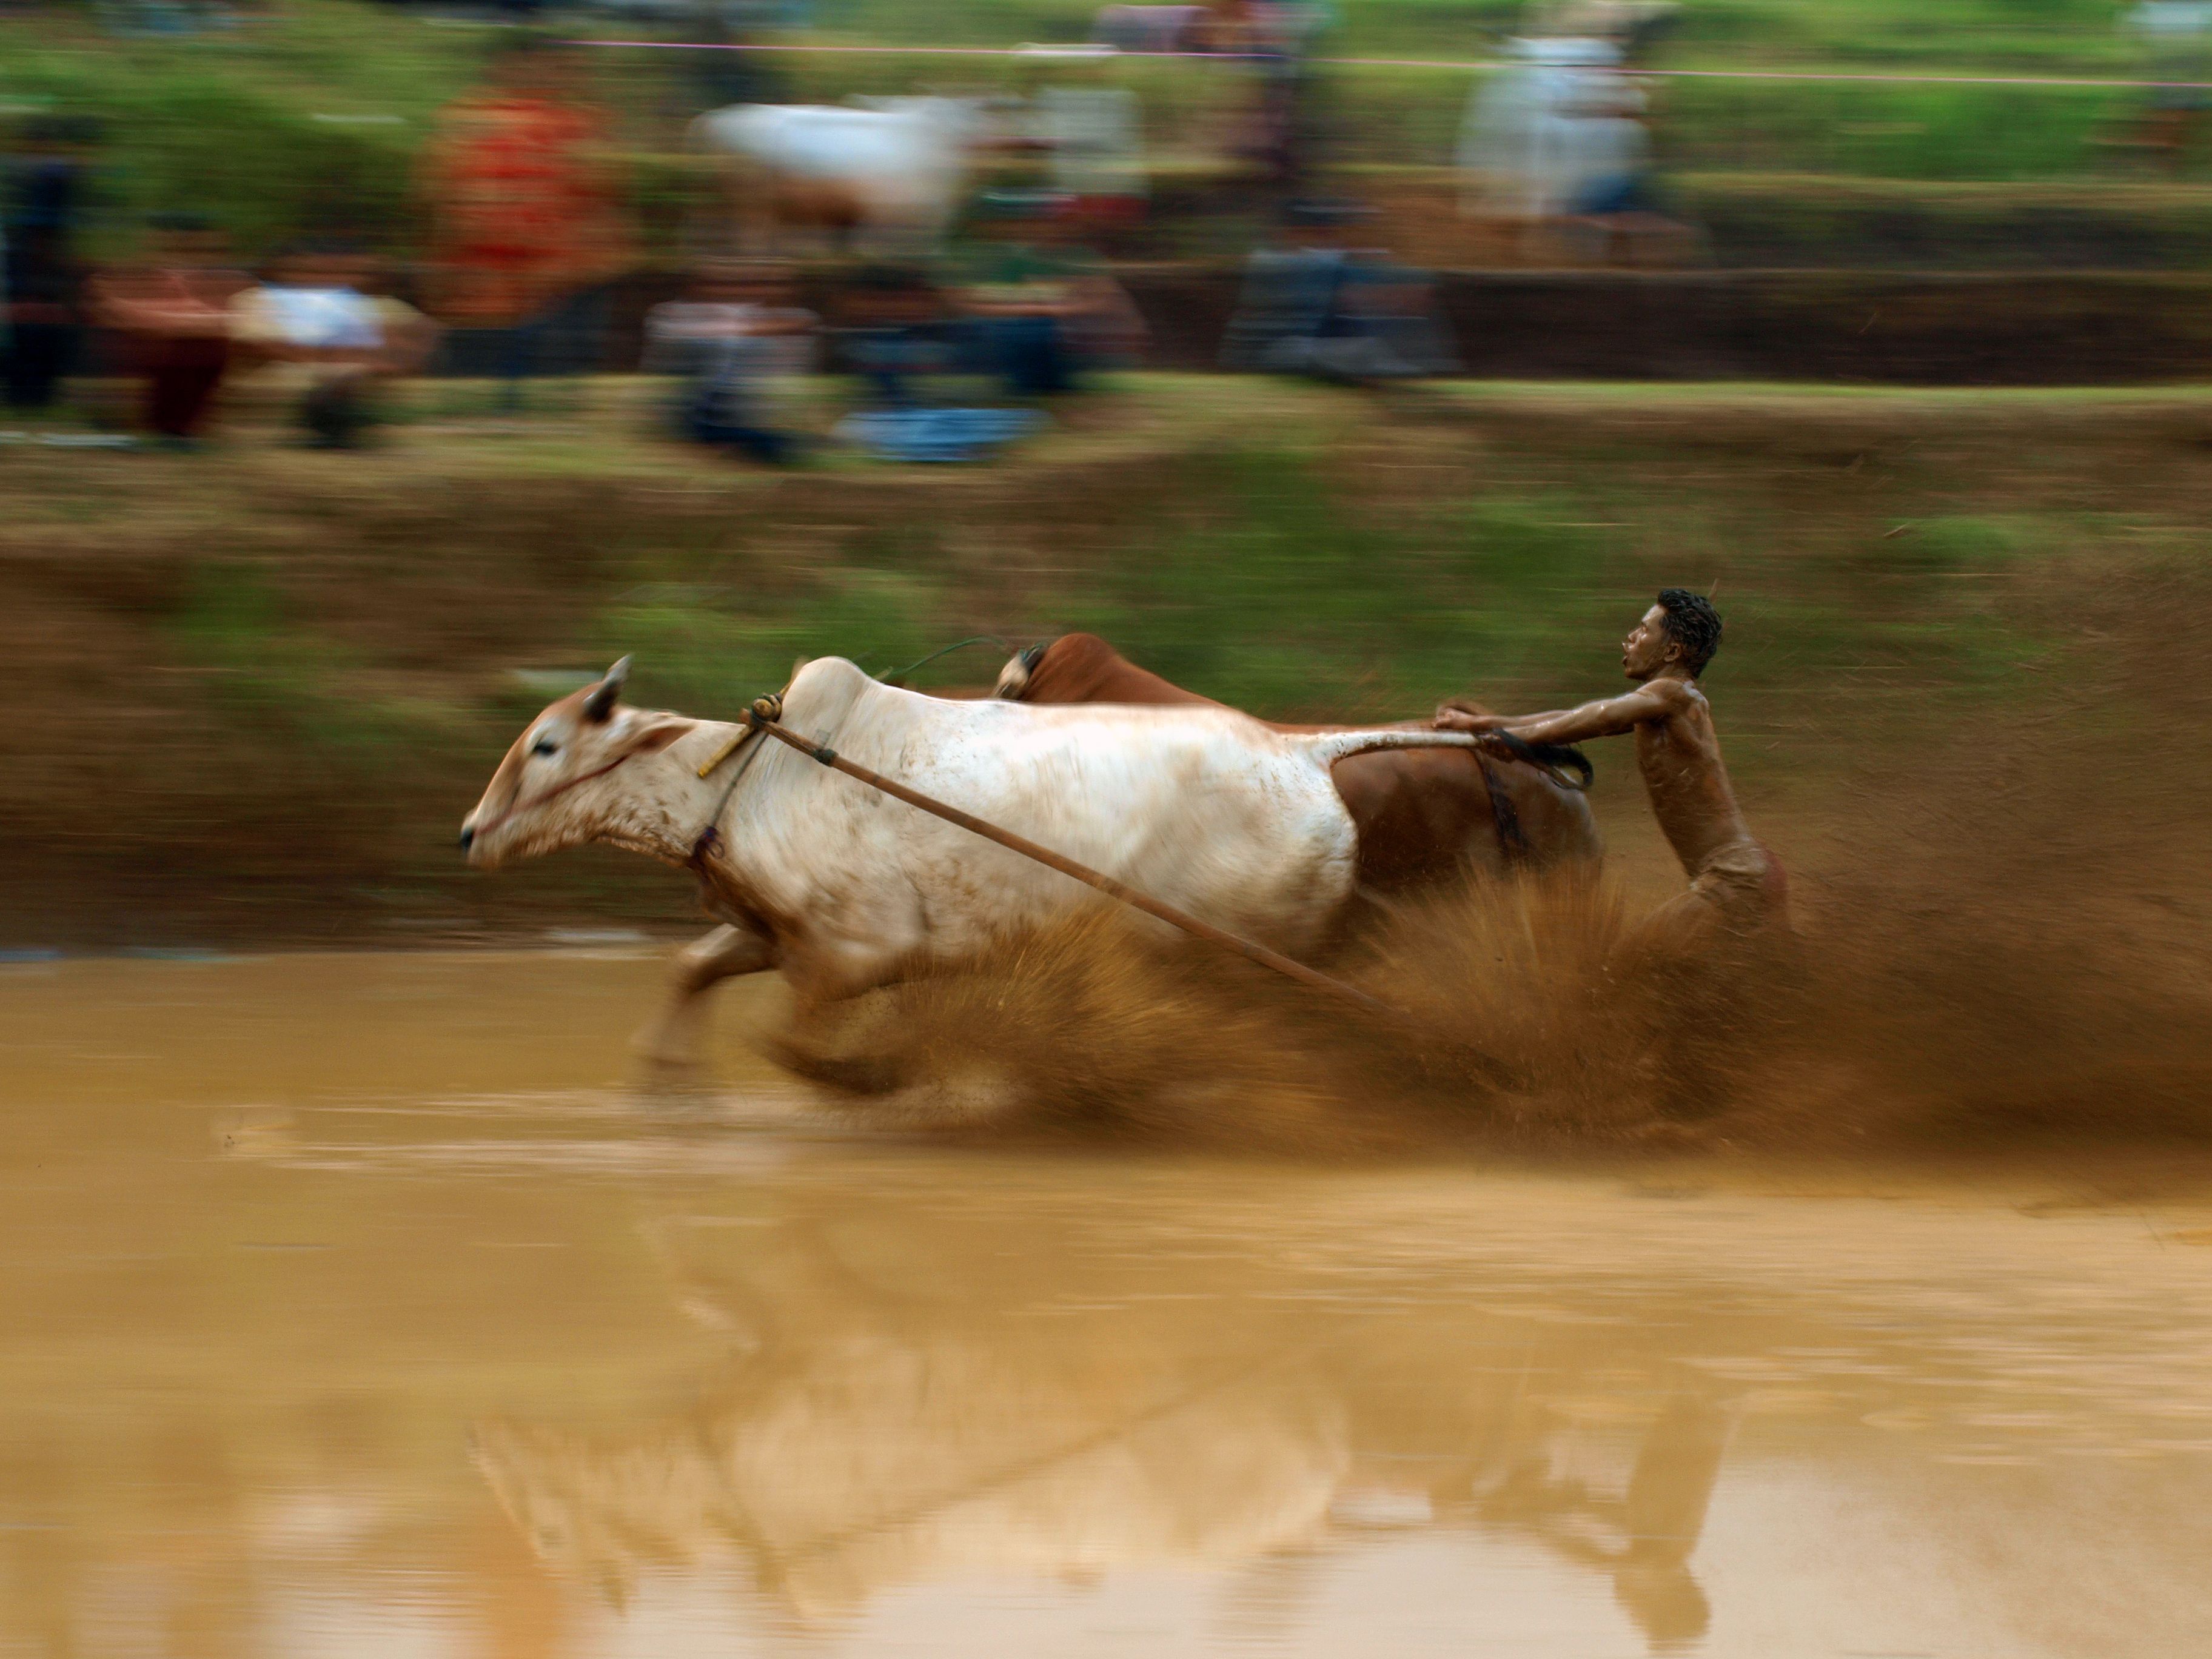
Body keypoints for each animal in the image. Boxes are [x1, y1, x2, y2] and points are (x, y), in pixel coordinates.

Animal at [461, 655, 1502, 1078]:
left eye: (546, 744)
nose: (469, 834)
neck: (746, 782)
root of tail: (1306, 754)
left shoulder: (859, 953)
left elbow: (795, 1046)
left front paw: (884, 1075)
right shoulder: (775, 938)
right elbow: (691, 972)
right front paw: (670, 1085)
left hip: (1246, 960)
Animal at [692, 97, 993, 256]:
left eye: (966, 119)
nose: (967, 139)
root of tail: (719, 117)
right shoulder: (885, 211)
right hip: (752, 191)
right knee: (751, 225)